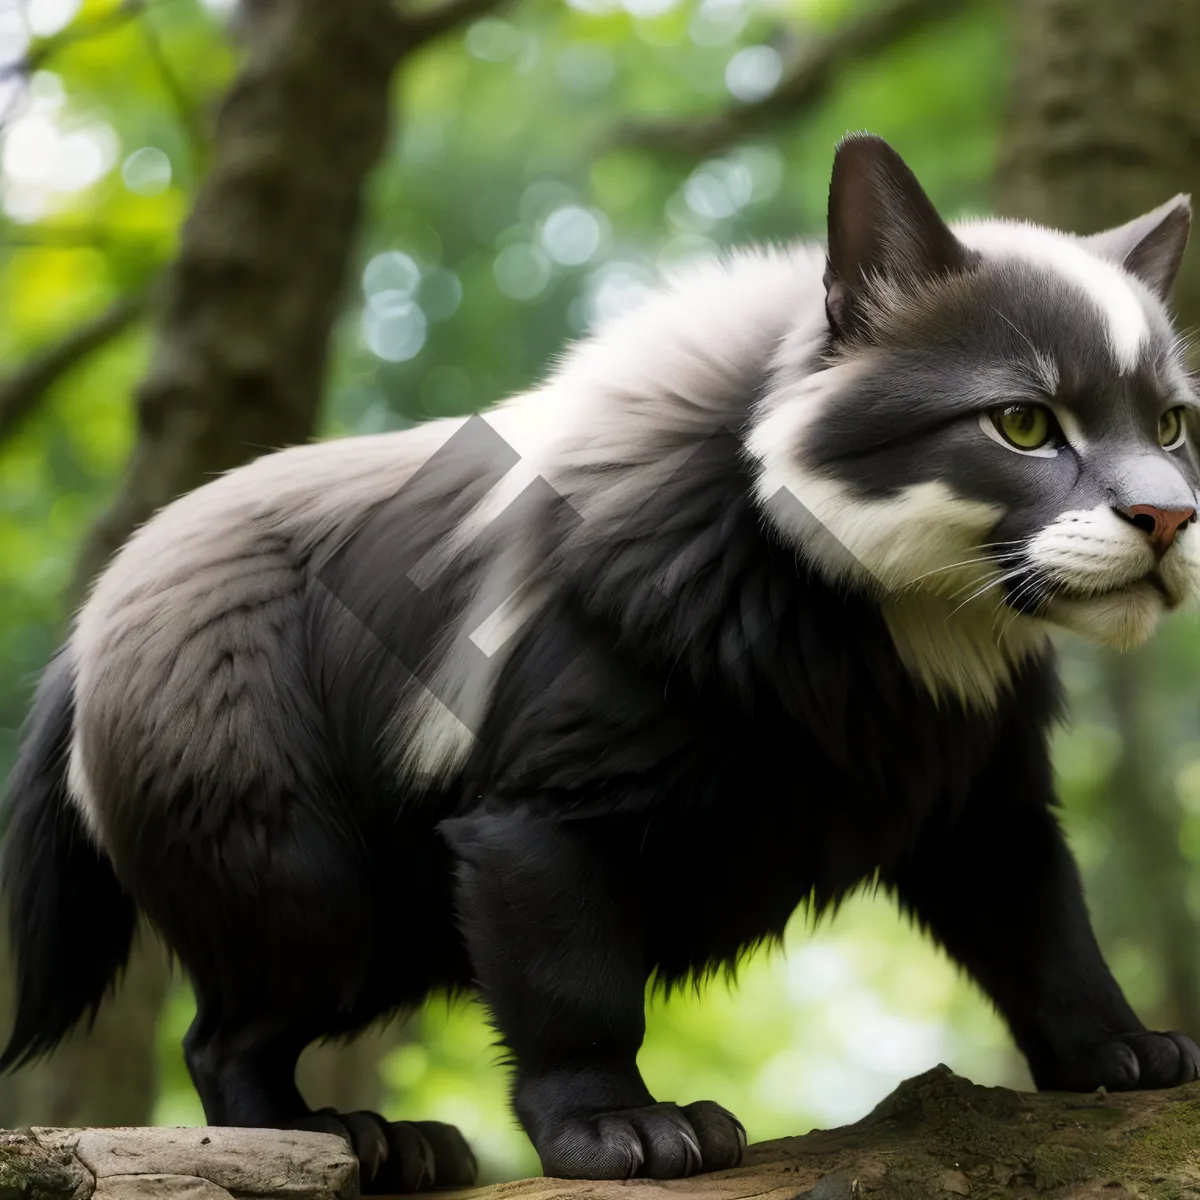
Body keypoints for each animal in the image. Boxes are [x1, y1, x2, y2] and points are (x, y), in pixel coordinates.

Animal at [2, 133, 1200, 1190]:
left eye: (1173, 424)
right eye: (1022, 423)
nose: (1170, 520)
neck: (892, 627)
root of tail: (88, 629)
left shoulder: (984, 804)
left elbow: (1048, 931)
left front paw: (1122, 1055)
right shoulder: (539, 813)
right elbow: (574, 987)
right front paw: (619, 1131)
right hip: (304, 880)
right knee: (223, 1041)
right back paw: (348, 1142)